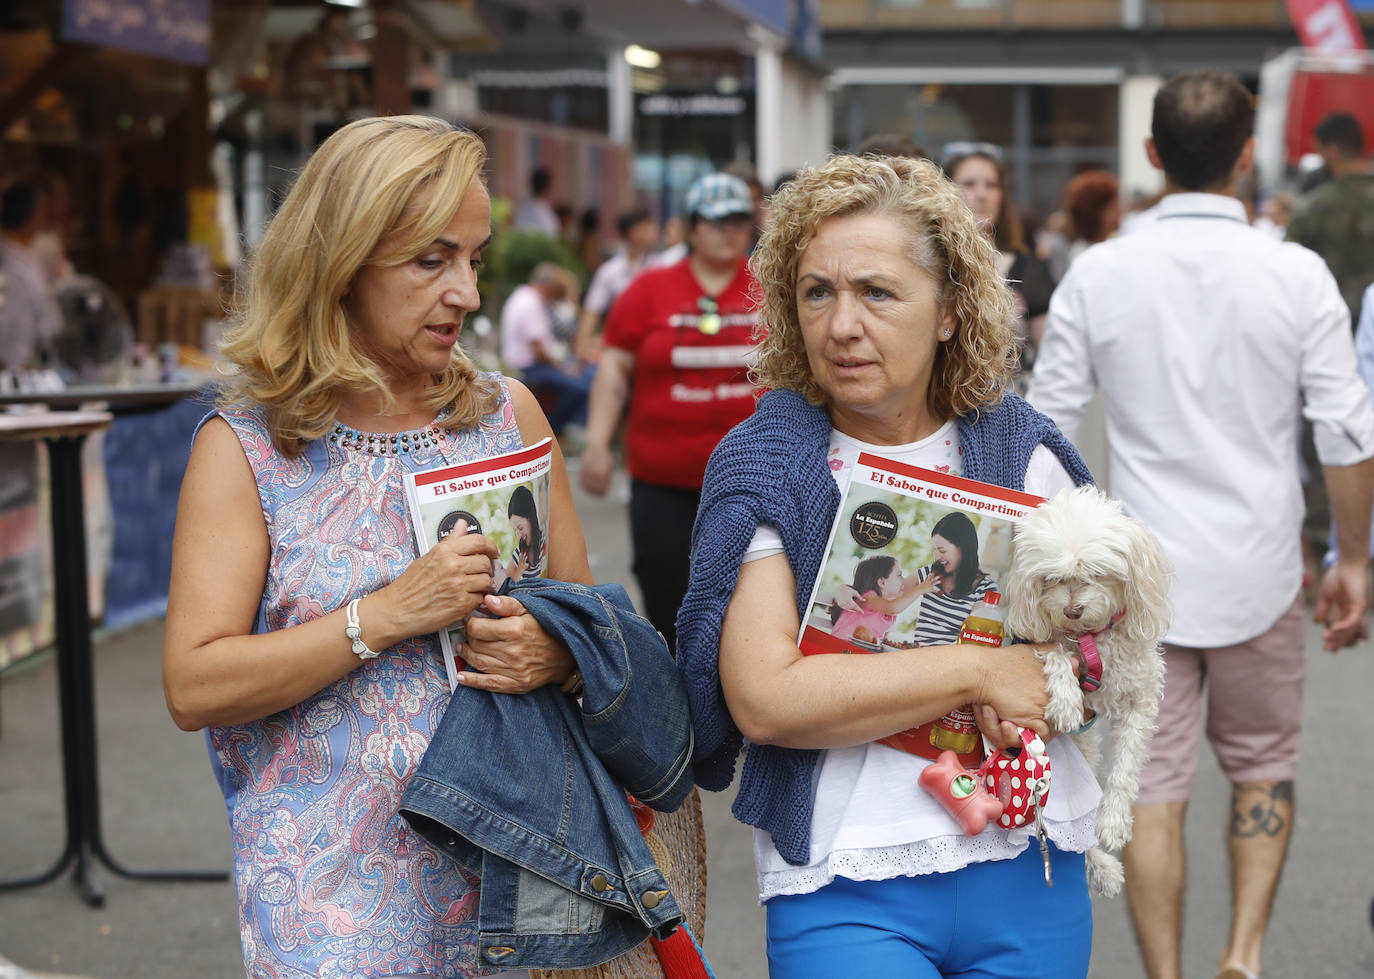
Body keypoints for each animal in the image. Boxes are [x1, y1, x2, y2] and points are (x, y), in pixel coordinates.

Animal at [1000, 486, 1170, 895]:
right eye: (1051, 578)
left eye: (1096, 573)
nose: (1073, 610)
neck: (1092, 638)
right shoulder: (1048, 642)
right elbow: (1056, 652)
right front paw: (1064, 699)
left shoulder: (1140, 700)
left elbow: (1124, 769)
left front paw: (1114, 820)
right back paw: (1100, 865)